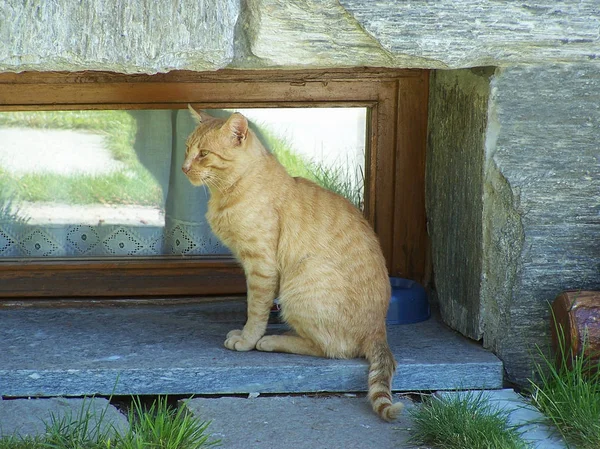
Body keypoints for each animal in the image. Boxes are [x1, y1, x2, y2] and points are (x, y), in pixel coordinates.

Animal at [180, 107, 400, 420]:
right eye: (187, 149)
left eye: (204, 154)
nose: (184, 168)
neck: (232, 188)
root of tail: (379, 329)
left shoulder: (261, 267)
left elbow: (255, 310)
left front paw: (247, 339)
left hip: (298, 289)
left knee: (334, 350)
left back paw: (274, 340)